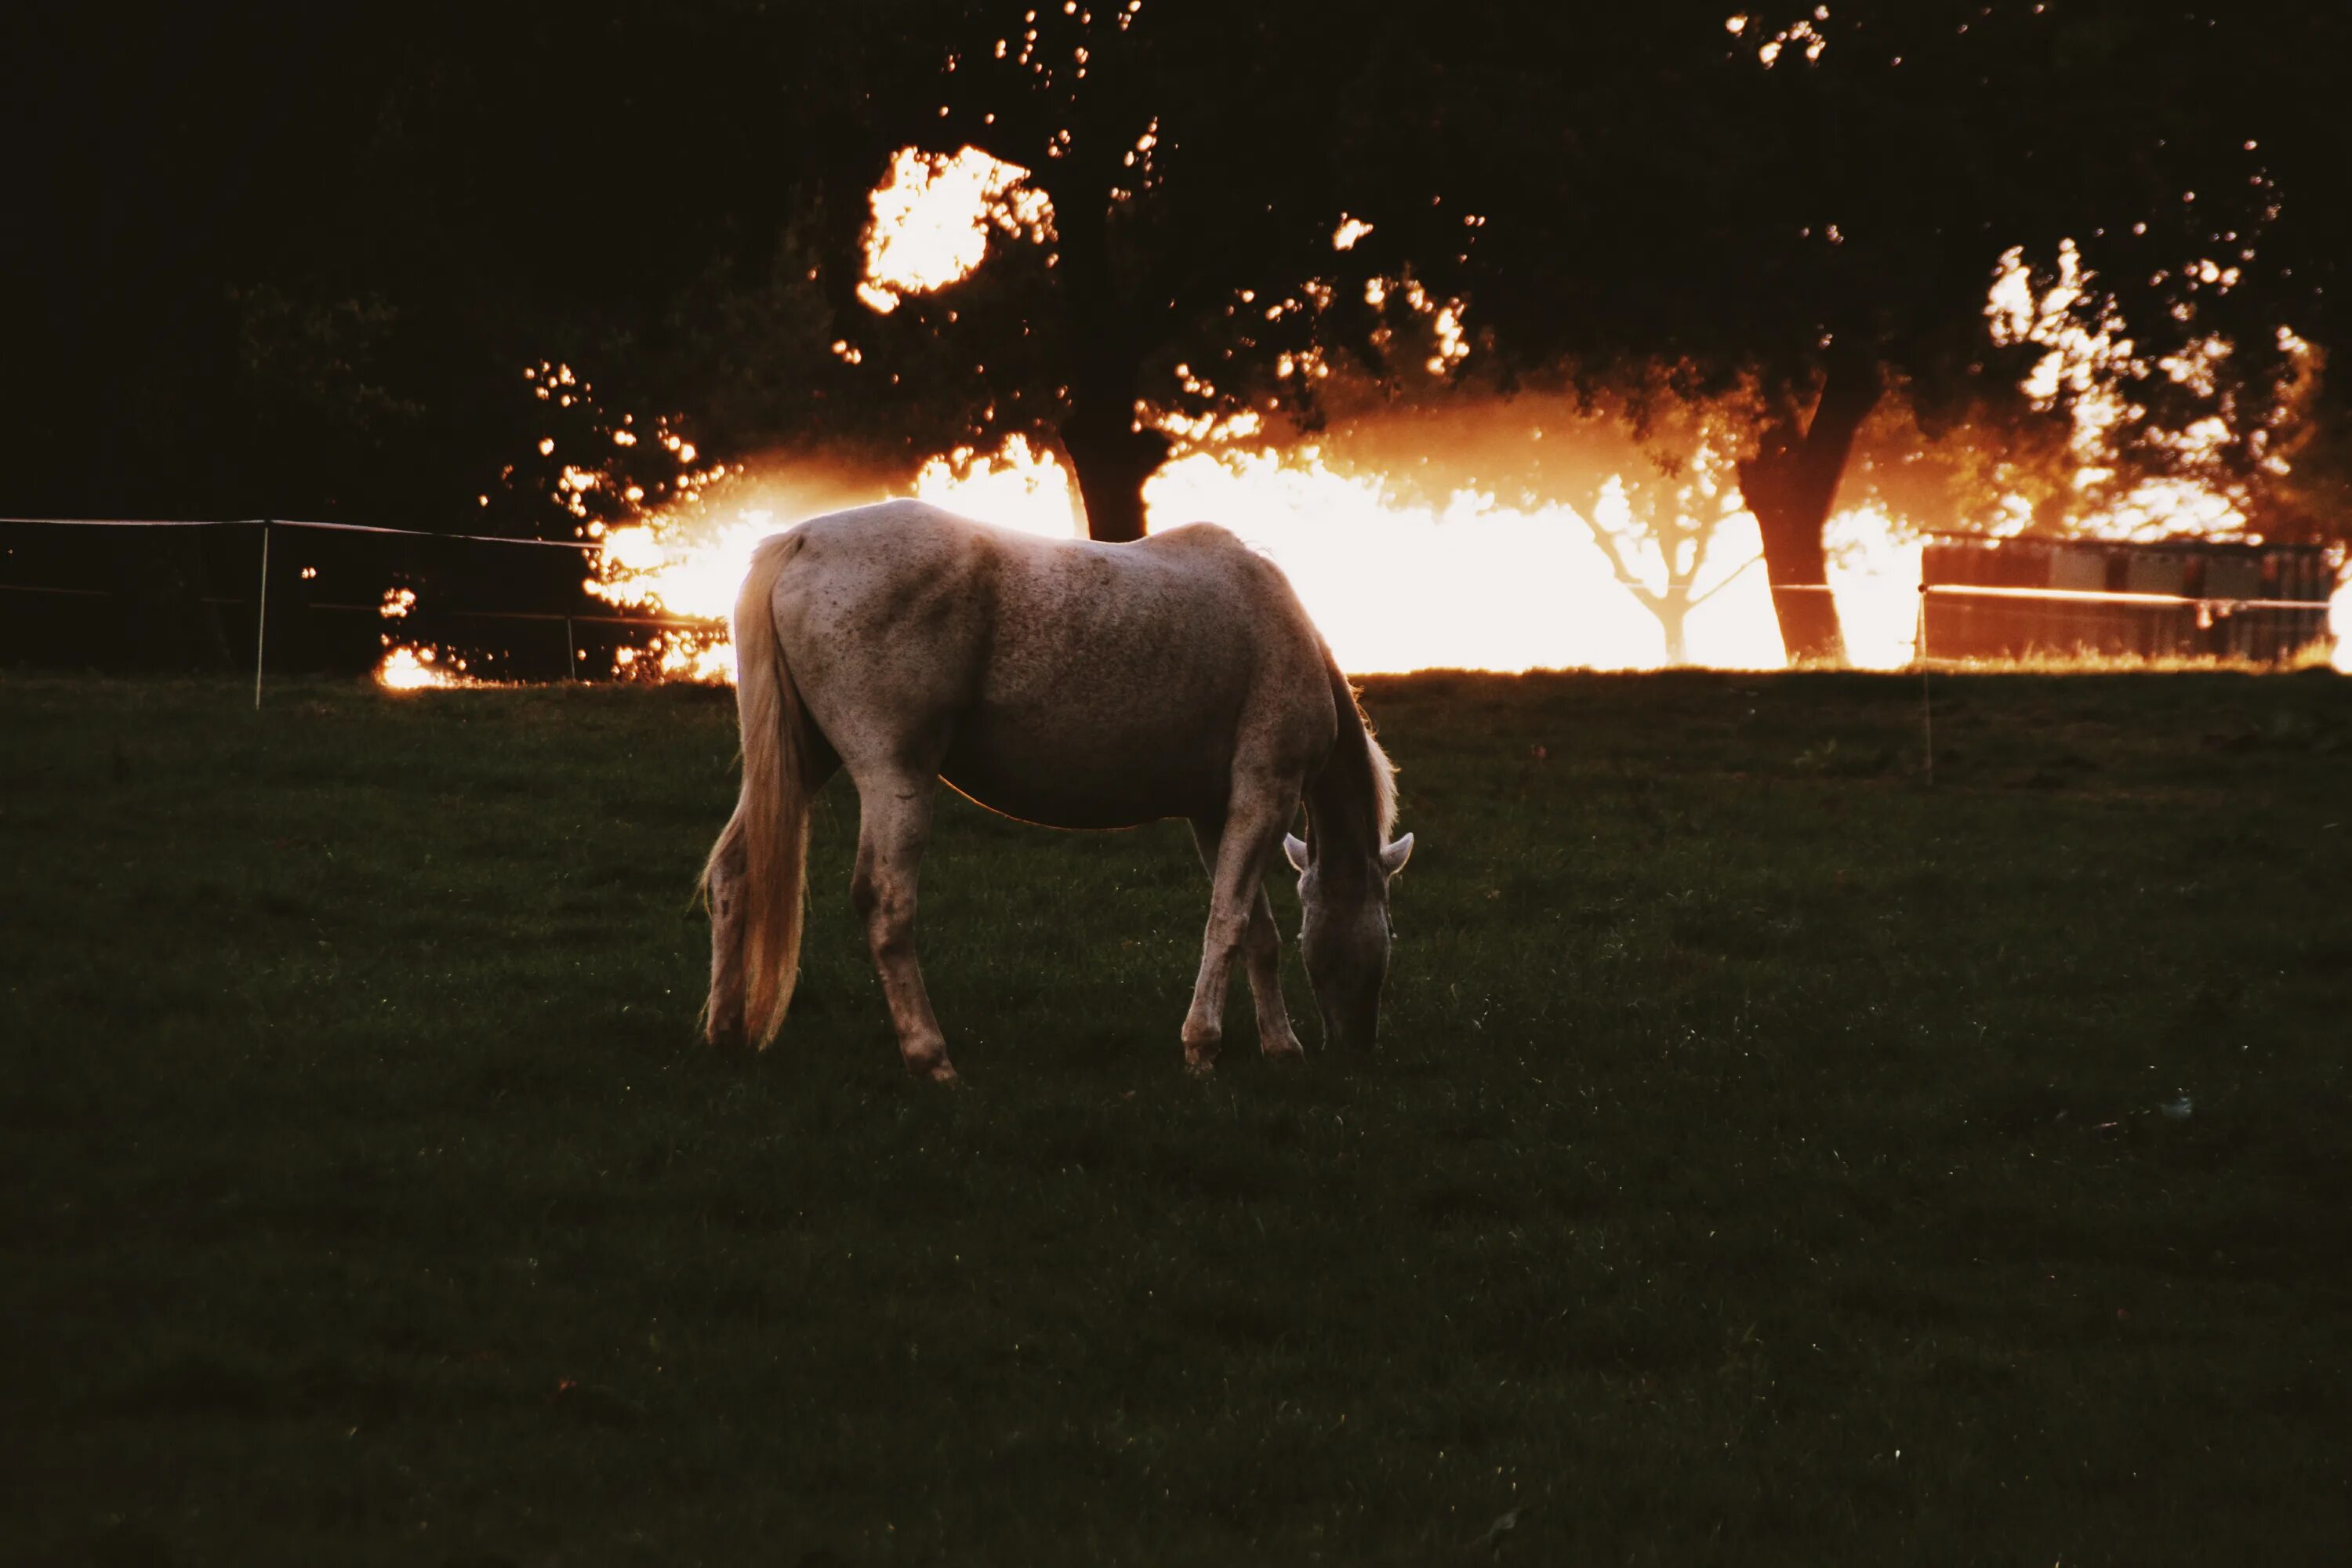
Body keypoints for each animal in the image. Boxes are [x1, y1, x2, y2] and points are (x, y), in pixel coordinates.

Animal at [696, 503, 1411, 1081]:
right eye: (1388, 931)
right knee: (886, 903)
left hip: (804, 759)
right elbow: (1230, 924)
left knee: (735, 872)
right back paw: (932, 1059)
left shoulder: (1216, 812)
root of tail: (802, 541)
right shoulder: (1265, 792)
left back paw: (725, 1034)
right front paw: (1203, 1049)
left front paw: (1279, 1047)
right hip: (893, 774)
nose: (1358, 1044)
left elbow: (1255, 931)